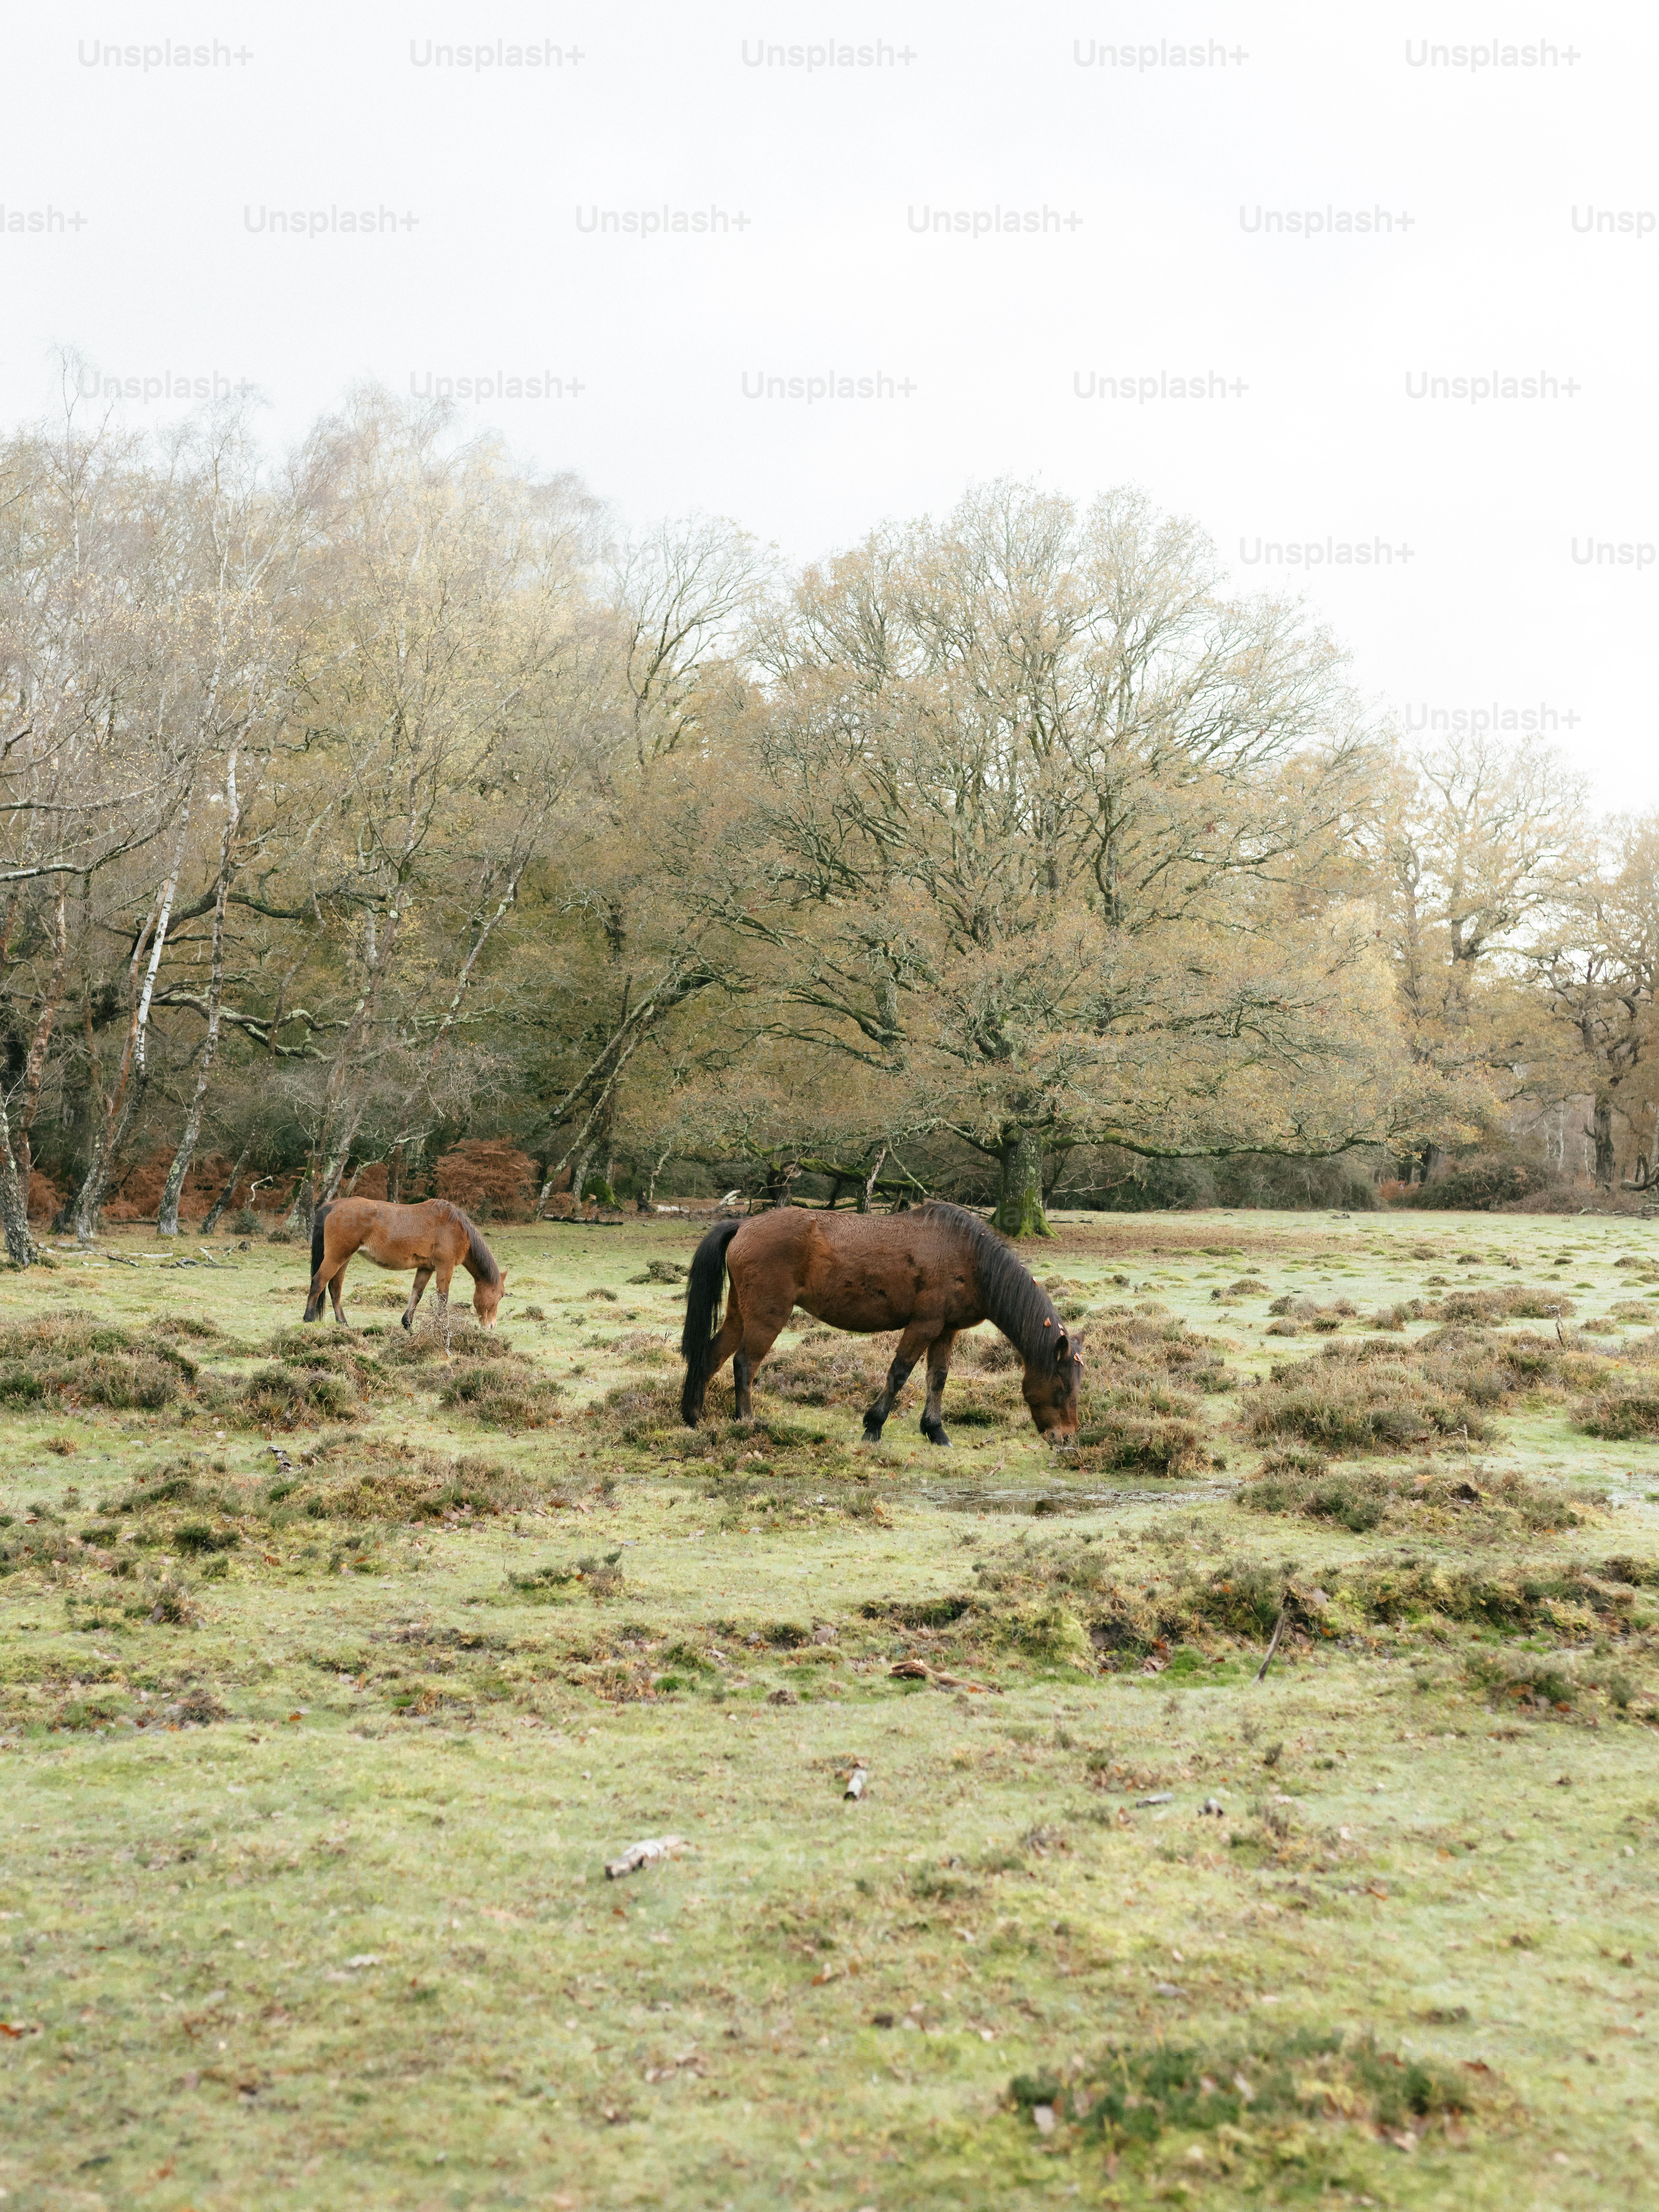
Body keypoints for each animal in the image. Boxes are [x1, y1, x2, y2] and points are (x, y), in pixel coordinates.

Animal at [303, 1197, 506, 1329]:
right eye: (501, 1296)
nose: (492, 1326)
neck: (455, 1226)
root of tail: (334, 1205)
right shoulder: (445, 1267)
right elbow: (443, 1298)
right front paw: (441, 1326)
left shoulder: (426, 1268)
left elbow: (417, 1294)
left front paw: (408, 1324)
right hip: (337, 1257)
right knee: (319, 1282)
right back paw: (309, 1319)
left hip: (344, 1259)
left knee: (335, 1288)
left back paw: (343, 1323)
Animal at [679, 1200, 1082, 1445]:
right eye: (1062, 1387)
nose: (1066, 1440)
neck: (971, 1257)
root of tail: (744, 1224)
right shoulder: (923, 1325)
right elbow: (899, 1374)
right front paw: (873, 1426)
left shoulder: (946, 1331)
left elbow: (937, 1379)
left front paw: (935, 1431)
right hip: (766, 1317)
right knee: (744, 1364)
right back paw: (747, 1422)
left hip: (739, 1314)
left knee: (711, 1357)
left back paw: (693, 1417)